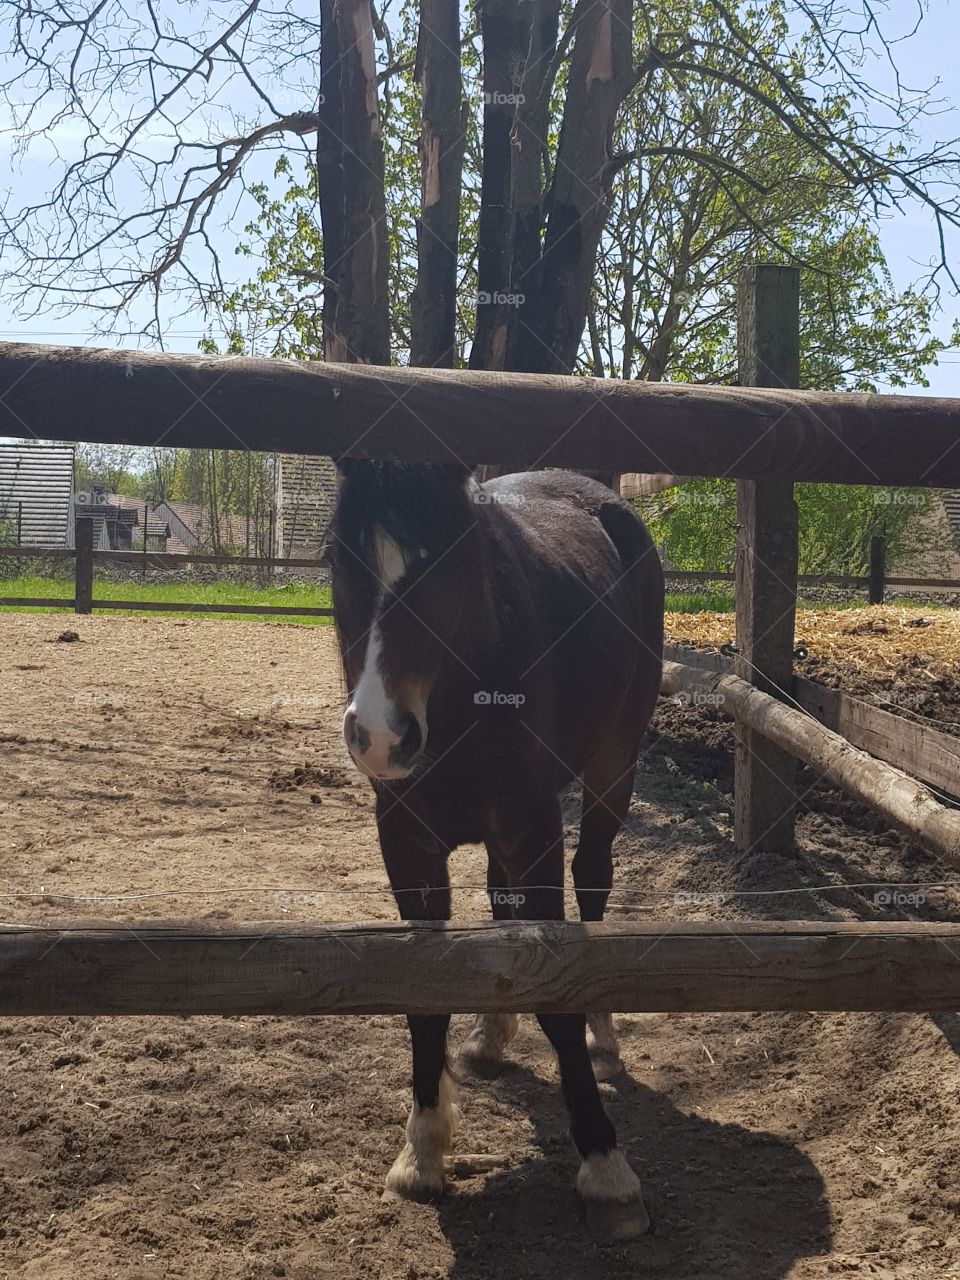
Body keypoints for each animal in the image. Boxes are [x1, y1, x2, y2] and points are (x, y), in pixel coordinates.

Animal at [329, 459, 664, 1240]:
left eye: (450, 558)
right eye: (337, 559)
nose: (381, 736)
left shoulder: (534, 830)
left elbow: (558, 991)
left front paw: (606, 1168)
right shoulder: (407, 846)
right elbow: (425, 996)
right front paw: (421, 1153)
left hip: (614, 767)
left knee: (593, 883)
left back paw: (603, 1039)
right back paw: (490, 1035)